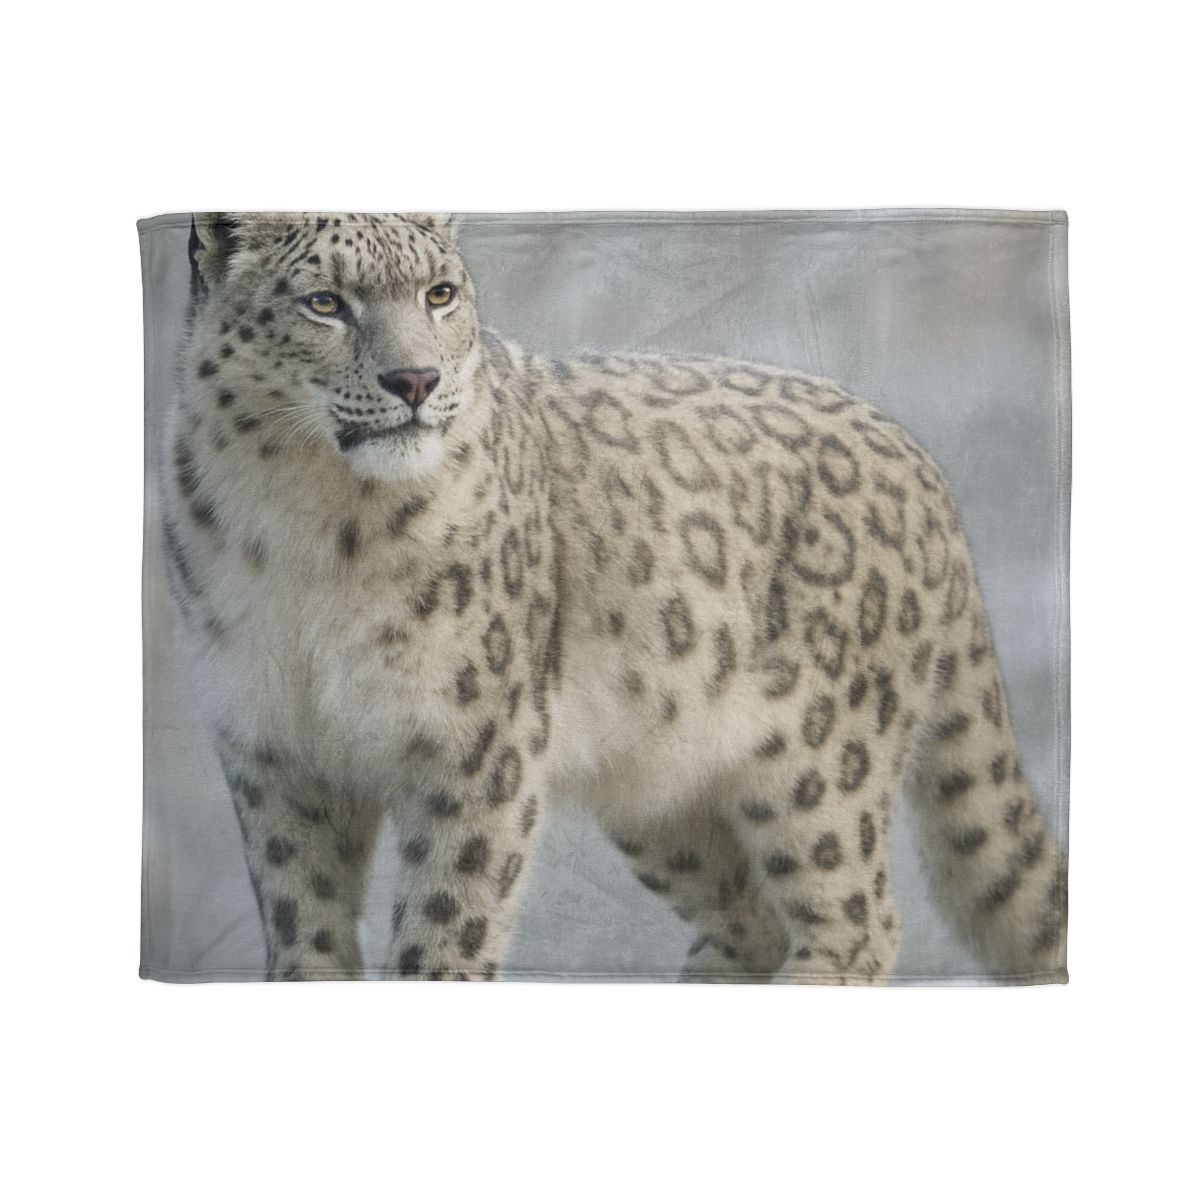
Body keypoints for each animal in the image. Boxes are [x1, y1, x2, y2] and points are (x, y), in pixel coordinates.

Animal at [160, 211, 1066, 983]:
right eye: (325, 302)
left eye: (439, 293)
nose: (415, 378)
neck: (309, 529)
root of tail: (919, 455)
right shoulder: (276, 749)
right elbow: (303, 926)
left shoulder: (473, 743)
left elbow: (446, 923)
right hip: (661, 792)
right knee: (747, 920)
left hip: (821, 762)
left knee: (854, 918)